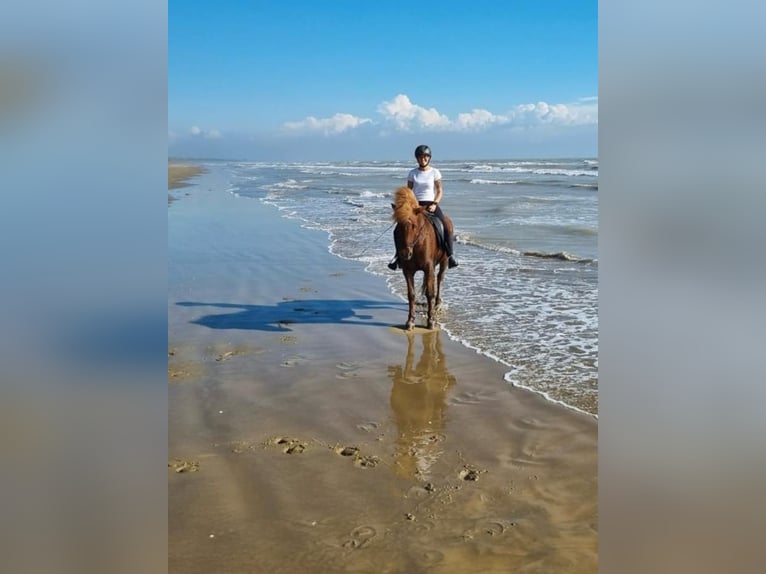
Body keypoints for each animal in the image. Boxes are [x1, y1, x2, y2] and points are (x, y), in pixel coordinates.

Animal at [391, 186, 454, 330]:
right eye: (398, 226)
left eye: (414, 225)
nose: (405, 254)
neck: (417, 244)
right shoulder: (408, 270)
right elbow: (411, 294)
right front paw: (410, 321)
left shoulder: (429, 268)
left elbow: (430, 293)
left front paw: (430, 321)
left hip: (444, 261)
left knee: (440, 279)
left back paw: (437, 304)